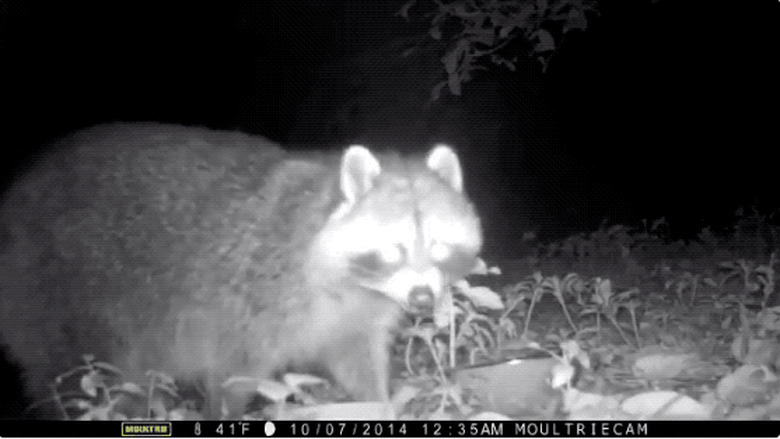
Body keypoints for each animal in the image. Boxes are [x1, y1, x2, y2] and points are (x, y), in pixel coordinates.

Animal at [0, 124, 482, 420]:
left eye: (438, 246)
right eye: (393, 249)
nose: (422, 299)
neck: (356, 284)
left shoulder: (355, 319)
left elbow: (358, 362)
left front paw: (379, 402)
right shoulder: (250, 300)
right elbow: (233, 377)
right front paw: (223, 412)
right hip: (58, 289)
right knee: (77, 380)